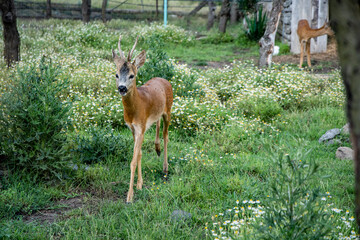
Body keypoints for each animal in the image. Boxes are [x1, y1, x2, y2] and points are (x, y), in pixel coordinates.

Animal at [112, 36, 174, 203]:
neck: (134, 110)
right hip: (157, 115)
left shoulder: (141, 126)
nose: (122, 88)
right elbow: (139, 154)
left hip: (169, 110)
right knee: (158, 125)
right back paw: (157, 148)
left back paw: (165, 167)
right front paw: (139, 184)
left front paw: (129, 196)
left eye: (132, 75)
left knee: (166, 135)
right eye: (116, 75)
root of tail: (164, 79)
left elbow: (133, 161)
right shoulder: (133, 128)